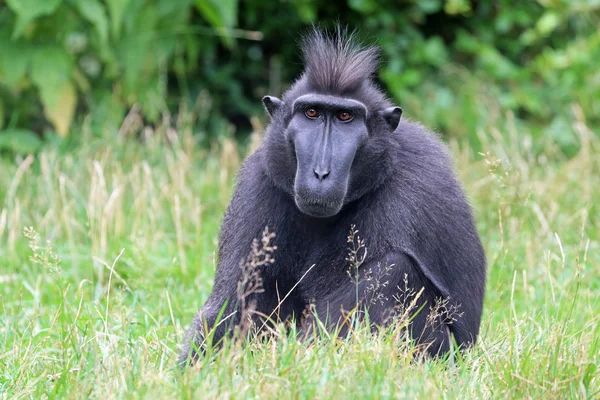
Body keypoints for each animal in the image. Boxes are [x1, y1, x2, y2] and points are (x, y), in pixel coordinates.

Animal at [176, 26, 486, 368]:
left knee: (394, 270)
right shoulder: (257, 183)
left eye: (345, 117)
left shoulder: (407, 197)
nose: (320, 173)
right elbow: (232, 302)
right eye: (311, 113)